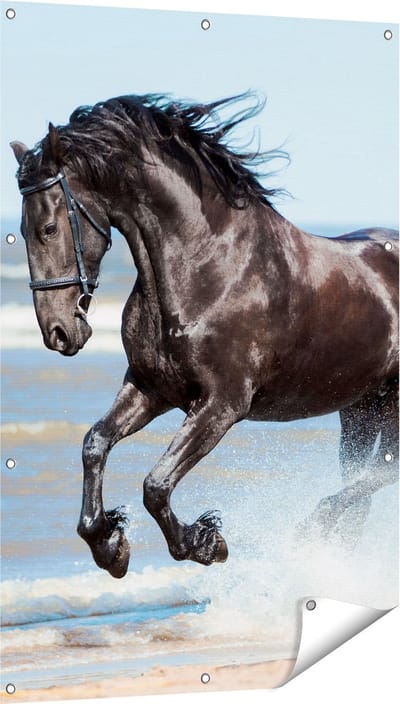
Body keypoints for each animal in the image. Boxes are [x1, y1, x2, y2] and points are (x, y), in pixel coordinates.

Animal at [11, 93, 398, 579]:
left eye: (48, 228)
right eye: (20, 232)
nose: (59, 333)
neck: (207, 266)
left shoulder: (221, 405)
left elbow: (156, 484)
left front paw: (205, 542)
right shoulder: (151, 388)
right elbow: (94, 444)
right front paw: (110, 545)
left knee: (380, 474)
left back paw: (309, 531)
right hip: (360, 409)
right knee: (364, 480)